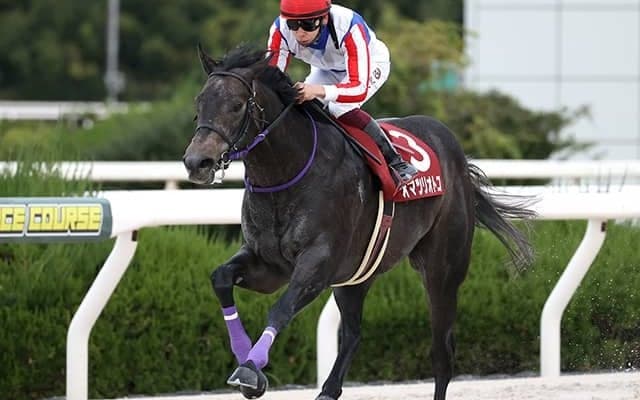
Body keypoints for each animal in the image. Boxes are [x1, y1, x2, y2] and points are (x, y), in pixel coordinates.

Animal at [182, 44, 535, 400]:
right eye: (199, 103)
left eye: (236, 105)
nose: (197, 162)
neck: (286, 173)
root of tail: (455, 150)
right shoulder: (268, 265)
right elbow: (221, 278)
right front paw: (245, 357)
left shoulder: (317, 264)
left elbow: (280, 309)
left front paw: (250, 370)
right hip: (356, 275)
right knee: (353, 334)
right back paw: (327, 390)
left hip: (443, 270)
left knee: (442, 353)